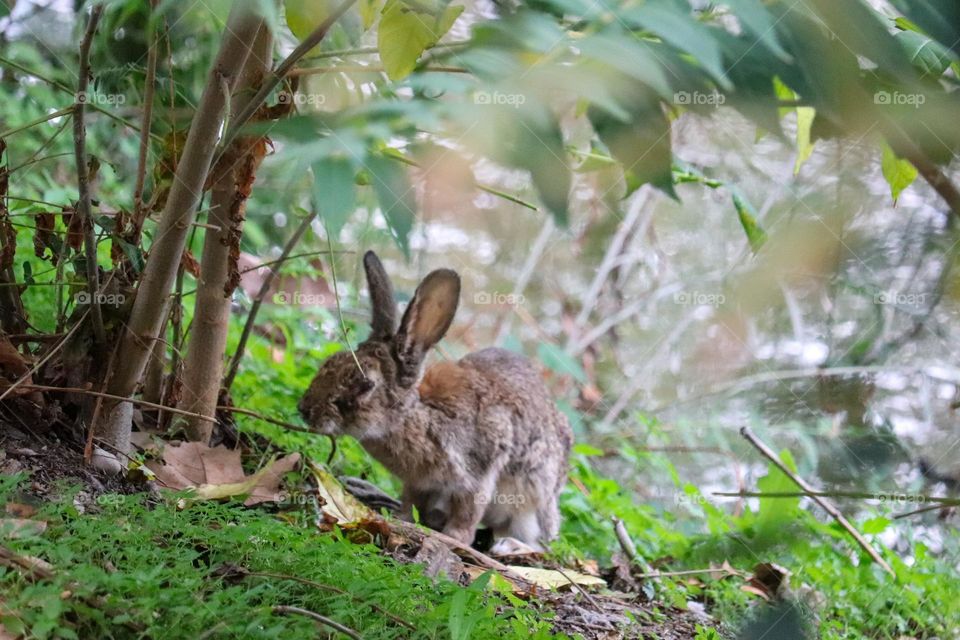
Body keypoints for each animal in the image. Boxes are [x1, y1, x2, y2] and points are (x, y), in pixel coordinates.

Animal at [298, 252, 568, 552]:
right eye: (330, 361)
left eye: (365, 383)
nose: (305, 410)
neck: (416, 415)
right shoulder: (420, 482)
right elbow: (411, 500)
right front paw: (403, 518)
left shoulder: (480, 469)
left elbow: (468, 510)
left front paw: (455, 537)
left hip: (531, 504)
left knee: (540, 544)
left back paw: (509, 546)